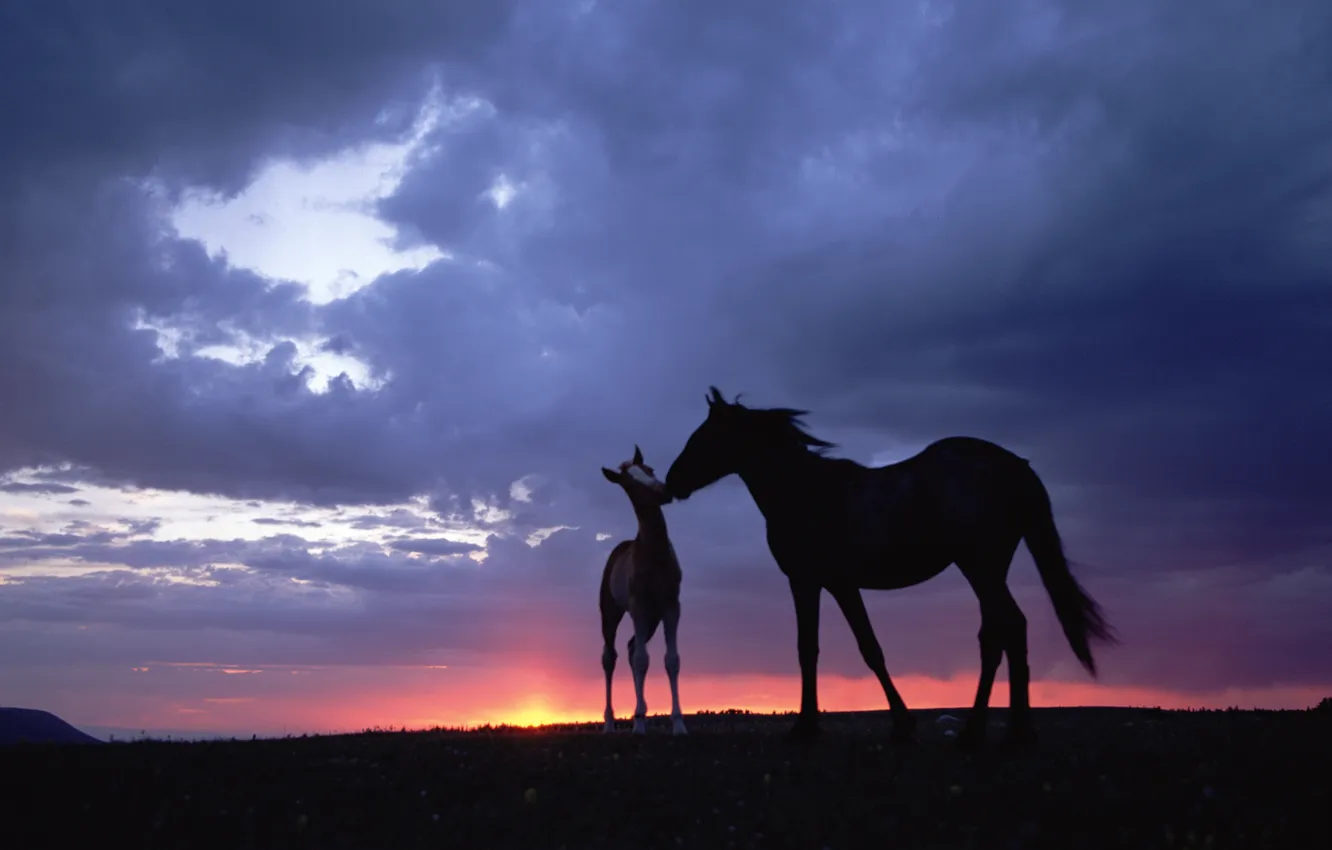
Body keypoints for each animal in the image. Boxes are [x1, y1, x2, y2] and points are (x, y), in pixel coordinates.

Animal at [598, 445, 688, 736]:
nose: (664, 491)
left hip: (651, 619)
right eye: (629, 483)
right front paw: (637, 725)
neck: (655, 554)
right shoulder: (638, 606)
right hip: (611, 613)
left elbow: (671, 660)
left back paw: (641, 713)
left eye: (650, 470)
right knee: (611, 657)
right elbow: (641, 660)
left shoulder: (671, 606)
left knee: (630, 648)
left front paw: (679, 724)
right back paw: (611, 723)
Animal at [663, 387, 1116, 750]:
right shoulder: (839, 585)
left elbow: (816, 650)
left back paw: (1001, 733)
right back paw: (990, 732)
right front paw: (897, 725)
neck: (805, 492)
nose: (672, 481)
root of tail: (1016, 466)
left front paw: (810, 728)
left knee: (1008, 627)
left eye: (705, 436)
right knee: (998, 634)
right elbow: (866, 649)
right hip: (987, 570)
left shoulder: (808, 582)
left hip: (980, 566)